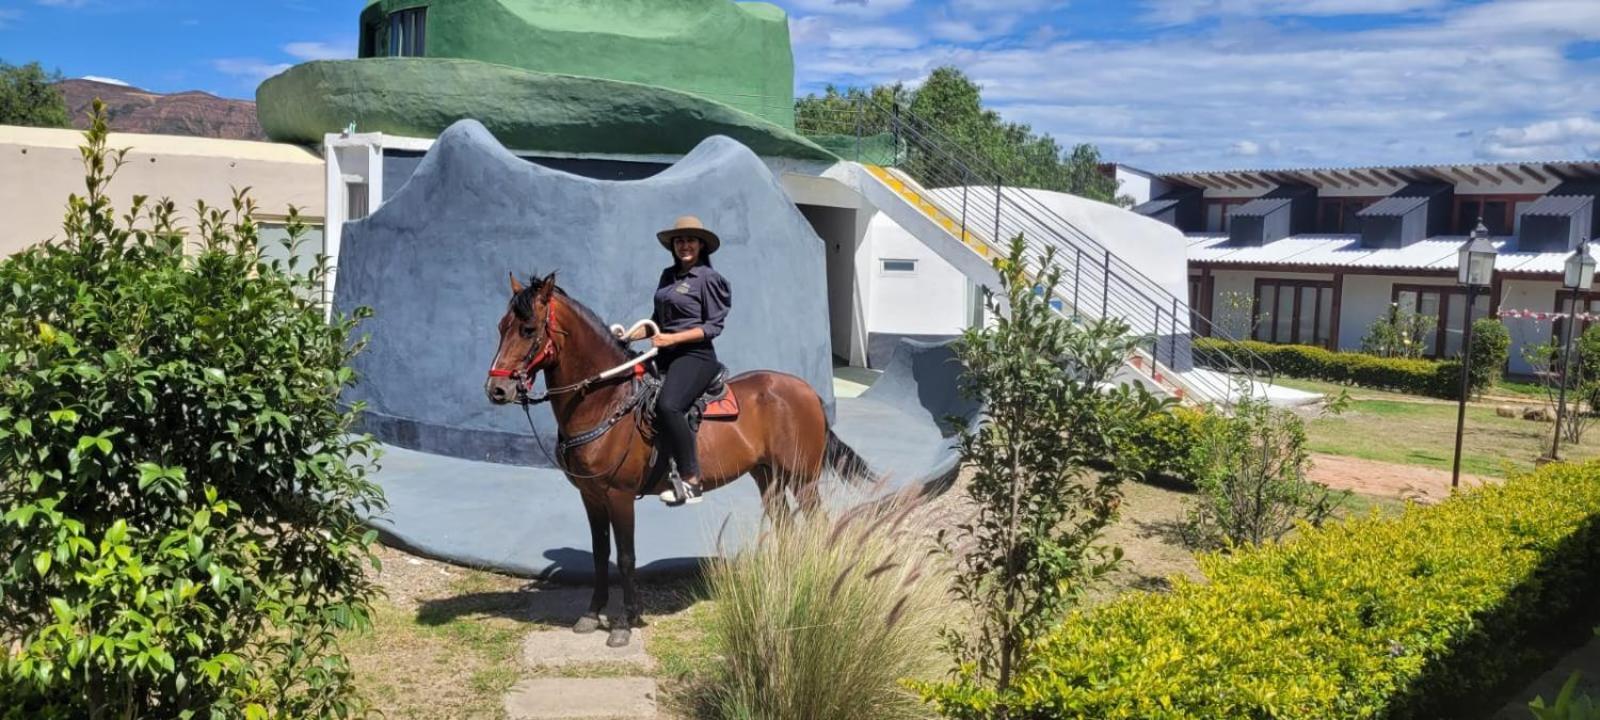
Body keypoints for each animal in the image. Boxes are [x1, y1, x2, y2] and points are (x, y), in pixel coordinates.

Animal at [483, 273, 870, 649]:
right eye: (501, 326)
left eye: (528, 329)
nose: (497, 390)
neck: (608, 402)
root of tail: (807, 391)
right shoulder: (591, 496)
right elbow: (599, 554)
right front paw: (592, 614)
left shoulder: (620, 496)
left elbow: (625, 557)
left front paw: (624, 623)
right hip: (768, 476)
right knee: (785, 526)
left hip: (803, 478)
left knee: (819, 525)